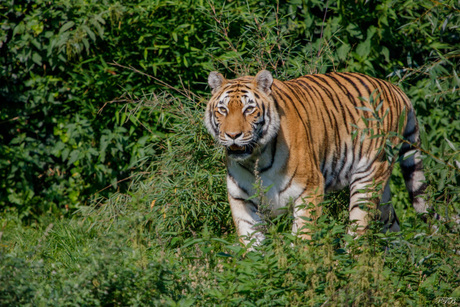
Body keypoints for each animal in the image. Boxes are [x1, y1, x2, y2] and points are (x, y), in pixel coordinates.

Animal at [205, 70, 428, 248]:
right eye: (223, 110)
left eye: (249, 109)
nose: (233, 135)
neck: (256, 160)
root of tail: (395, 88)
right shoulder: (241, 198)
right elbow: (252, 245)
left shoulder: (309, 190)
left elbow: (302, 240)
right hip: (382, 192)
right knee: (392, 225)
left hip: (369, 176)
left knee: (358, 232)